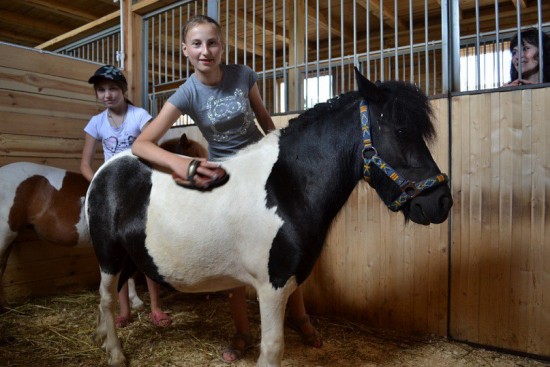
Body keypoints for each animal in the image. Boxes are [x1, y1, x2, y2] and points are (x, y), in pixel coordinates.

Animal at [88, 69, 454, 367]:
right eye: (401, 130)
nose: (441, 202)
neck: (286, 188)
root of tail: (107, 169)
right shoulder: (271, 287)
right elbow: (273, 348)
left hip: (131, 257)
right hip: (108, 257)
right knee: (106, 298)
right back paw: (115, 354)